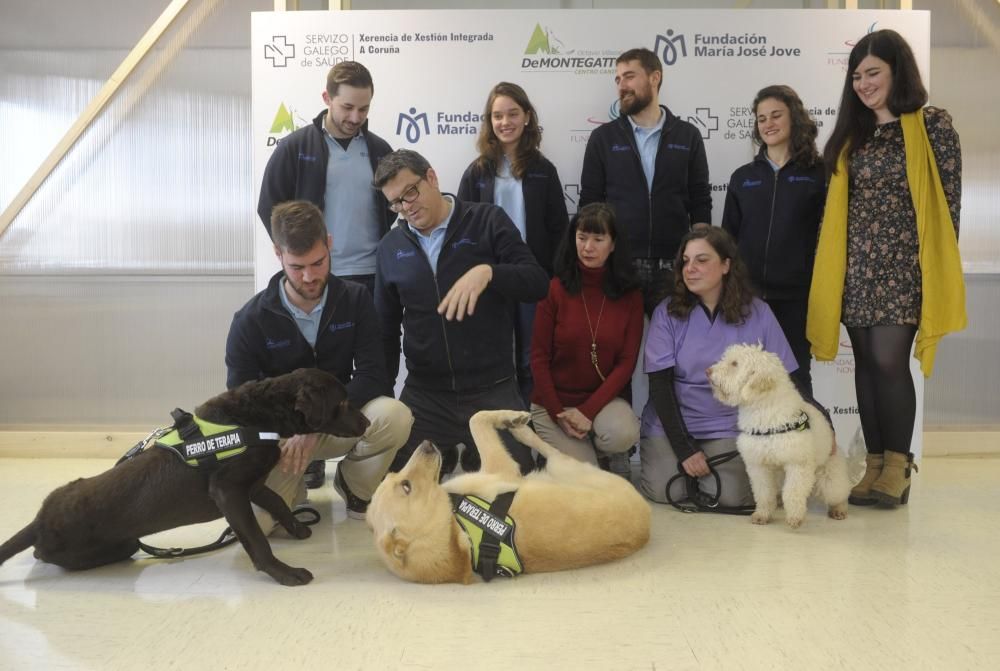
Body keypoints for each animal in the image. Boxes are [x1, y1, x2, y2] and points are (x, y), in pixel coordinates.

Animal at [0, 370, 368, 584]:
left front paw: (296, 527)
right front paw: (284, 573)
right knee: (42, 554)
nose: (365, 423)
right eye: (343, 402)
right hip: (116, 544)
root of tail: (39, 521)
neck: (258, 415)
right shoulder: (228, 490)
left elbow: (276, 500)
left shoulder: (252, 485)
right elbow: (257, 541)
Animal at [364, 410, 652, 584]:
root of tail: (646, 526)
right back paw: (521, 426)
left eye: (393, 476)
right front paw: (509, 418)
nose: (426, 443)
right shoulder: (503, 469)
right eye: (406, 486)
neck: (455, 526)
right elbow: (476, 419)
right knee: (549, 449)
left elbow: (475, 418)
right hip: (567, 466)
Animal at [704, 346, 852, 532]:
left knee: (841, 493)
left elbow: (793, 492)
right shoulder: (758, 466)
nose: (708, 371)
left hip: (829, 478)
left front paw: (795, 517)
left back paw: (839, 510)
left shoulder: (797, 464)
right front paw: (762, 515)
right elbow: (764, 493)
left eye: (735, 363)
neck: (766, 412)